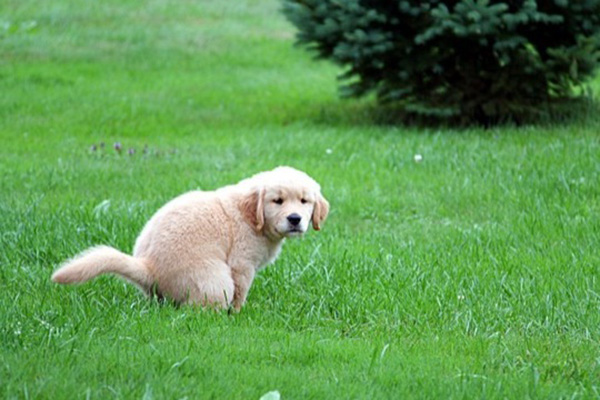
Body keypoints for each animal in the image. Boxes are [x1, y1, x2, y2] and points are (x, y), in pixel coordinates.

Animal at [52, 166, 330, 310]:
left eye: (304, 201)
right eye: (278, 201)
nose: (295, 219)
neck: (251, 216)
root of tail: (148, 267)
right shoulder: (241, 264)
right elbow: (241, 292)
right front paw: (238, 313)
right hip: (215, 281)